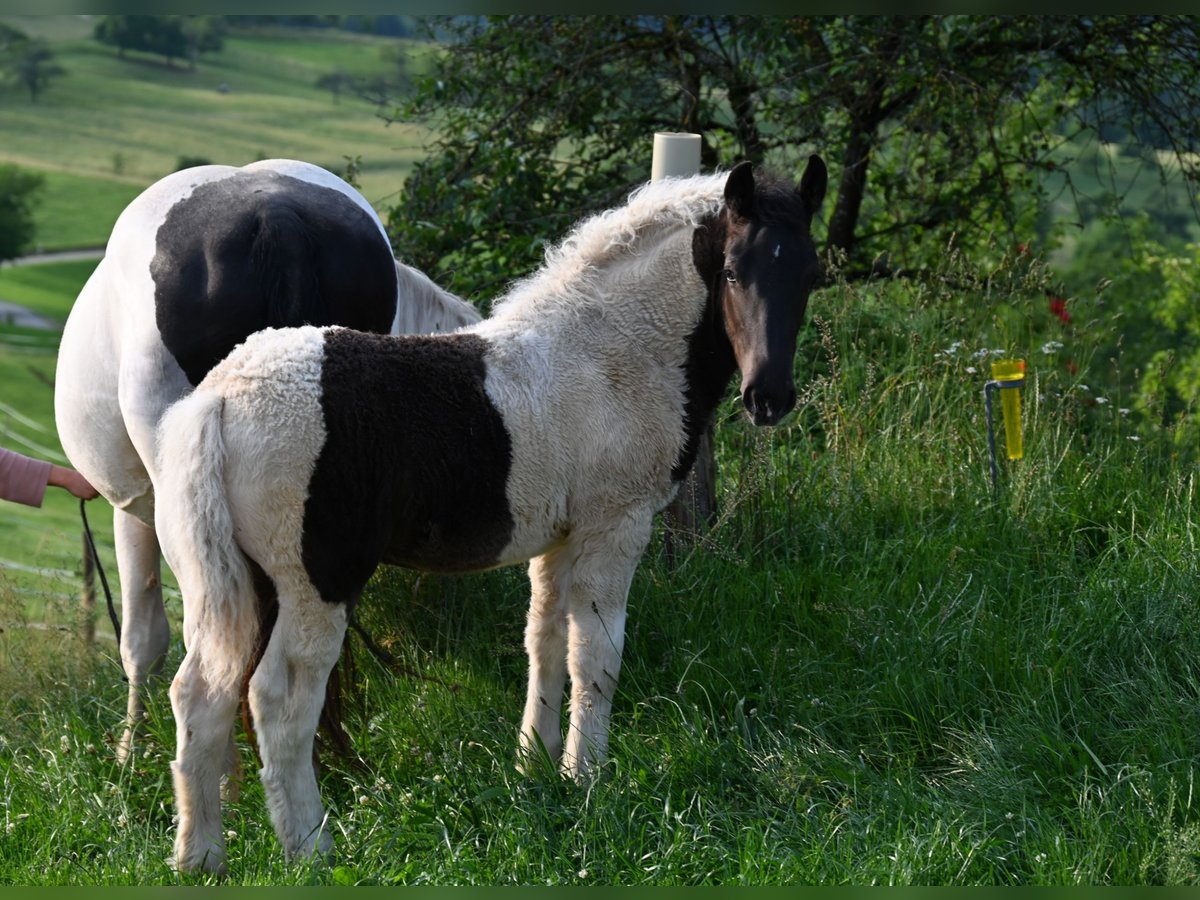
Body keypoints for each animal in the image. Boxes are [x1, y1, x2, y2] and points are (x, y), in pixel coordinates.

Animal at [153, 155, 827, 873]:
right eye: (731, 271)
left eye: (810, 275)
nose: (768, 398)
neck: (609, 355)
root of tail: (223, 396)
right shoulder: (614, 526)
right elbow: (597, 654)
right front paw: (589, 781)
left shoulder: (559, 541)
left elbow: (546, 641)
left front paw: (538, 769)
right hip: (315, 584)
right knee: (276, 700)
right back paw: (312, 850)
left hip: (232, 583)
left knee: (199, 693)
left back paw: (200, 858)